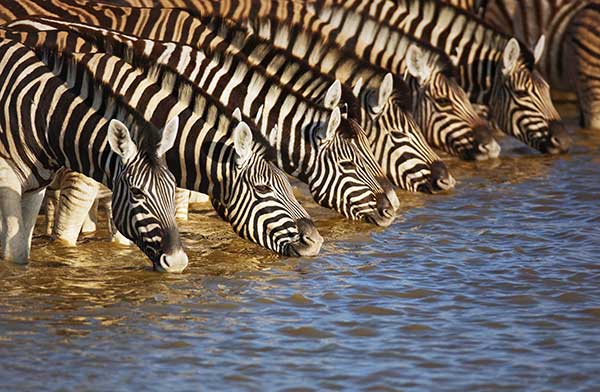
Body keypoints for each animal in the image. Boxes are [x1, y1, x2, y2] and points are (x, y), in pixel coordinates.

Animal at [0, 37, 188, 272]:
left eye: (172, 188)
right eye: (136, 192)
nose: (177, 262)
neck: (42, 115)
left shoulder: (35, 188)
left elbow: (22, 249)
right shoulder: (6, 178)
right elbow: (14, 252)